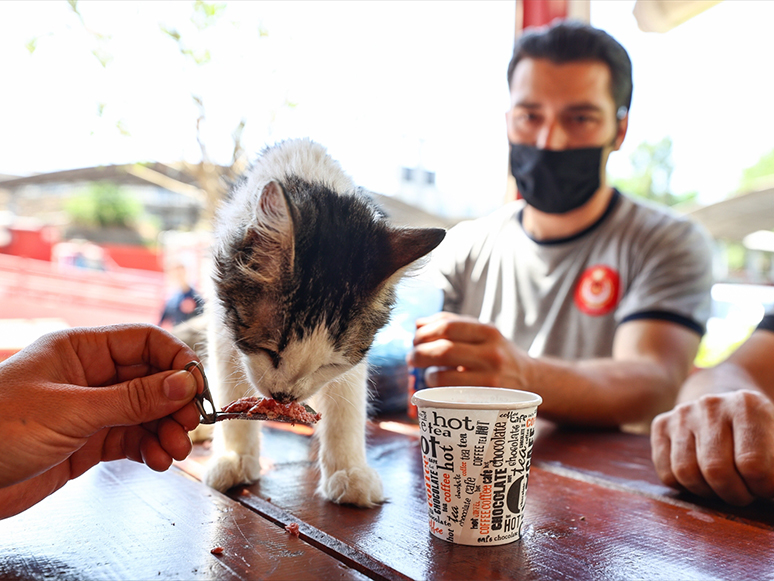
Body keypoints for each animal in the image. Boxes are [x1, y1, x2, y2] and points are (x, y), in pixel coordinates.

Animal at [203, 138, 446, 506]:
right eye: (270, 351)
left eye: (327, 365)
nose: (284, 396)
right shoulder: (222, 331)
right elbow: (231, 394)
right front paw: (234, 457)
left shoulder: (351, 365)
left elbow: (346, 411)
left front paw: (349, 471)